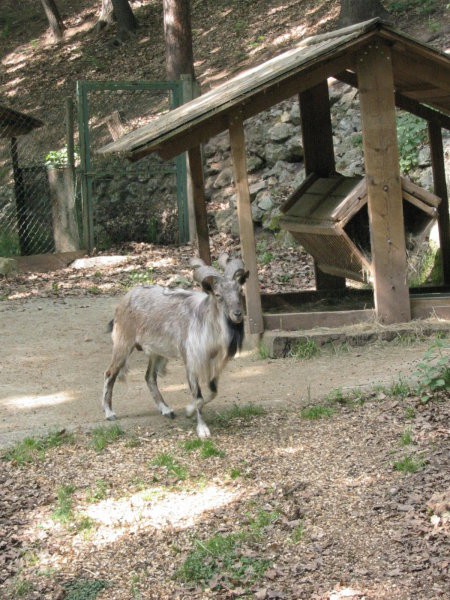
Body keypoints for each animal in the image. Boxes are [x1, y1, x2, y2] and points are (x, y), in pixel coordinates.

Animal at [102, 253, 250, 436]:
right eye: (218, 295)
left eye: (240, 290)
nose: (237, 314)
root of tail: (125, 299)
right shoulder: (191, 361)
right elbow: (198, 397)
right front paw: (202, 429)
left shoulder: (214, 363)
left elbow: (213, 391)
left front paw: (189, 411)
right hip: (123, 344)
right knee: (110, 373)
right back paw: (109, 413)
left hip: (156, 352)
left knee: (149, 377)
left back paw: (166, 410)